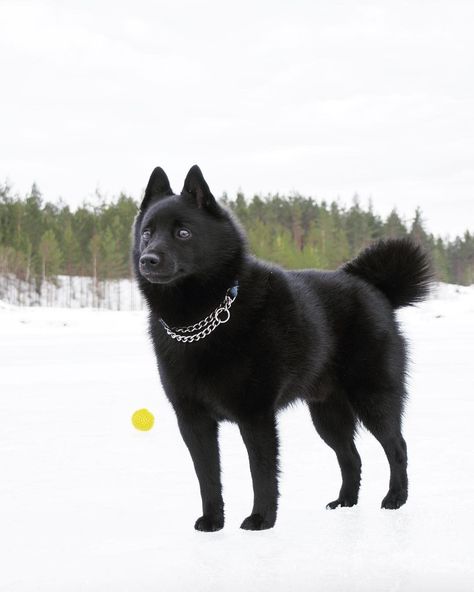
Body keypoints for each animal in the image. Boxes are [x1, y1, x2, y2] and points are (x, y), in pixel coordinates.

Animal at [131, 165, 432, 532]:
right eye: (147, 233)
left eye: (183, 233)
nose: (148, 259)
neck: (205, 317)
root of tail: (374, 288)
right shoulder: (193, 420)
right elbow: (208, 477)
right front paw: (213, 520)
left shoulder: (255, 415)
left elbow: (261, 472)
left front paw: (261, 519)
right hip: (327, 414)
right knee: (351, 456)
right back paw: (345, 502)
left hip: (373, 398)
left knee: (397, 447)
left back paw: (395, 498)